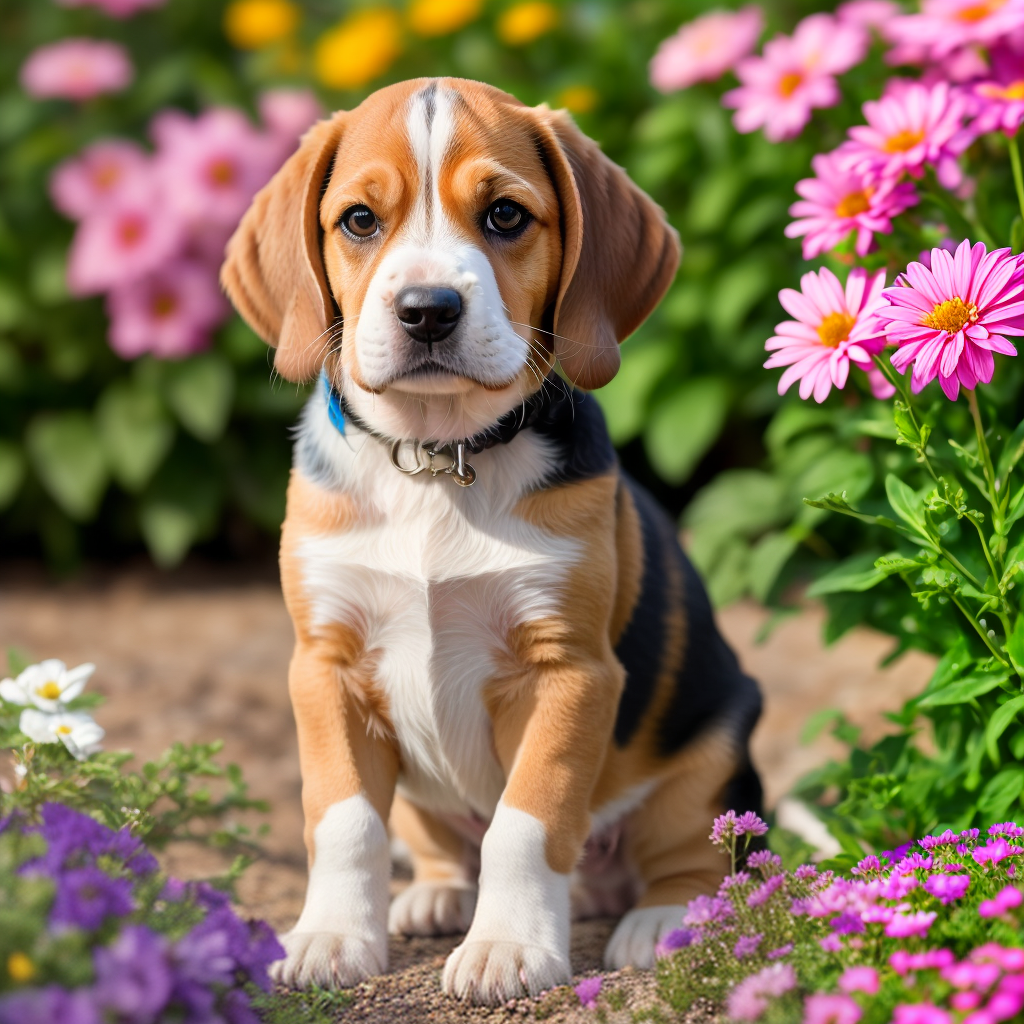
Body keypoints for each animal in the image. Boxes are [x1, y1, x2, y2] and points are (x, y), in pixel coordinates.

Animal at [220, 75, 761, 1003]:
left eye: (506, 216)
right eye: (359, 220)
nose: (427, 311)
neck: (436, 463)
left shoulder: (569, 671)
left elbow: (527, 820)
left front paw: (509, 946)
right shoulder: (323, 666)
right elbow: (343, 820)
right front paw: (332, 936)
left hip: (715, 744)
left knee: (696, 850)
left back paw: (662, 917)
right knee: (436, 844)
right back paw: (434, 895)